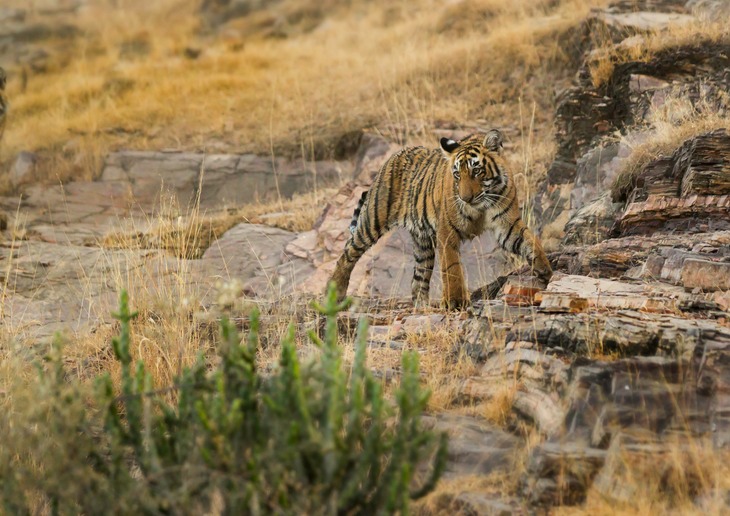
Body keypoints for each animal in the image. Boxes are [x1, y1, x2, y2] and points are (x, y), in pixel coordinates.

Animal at [328, 129, 548, 310]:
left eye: (477, 170)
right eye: (457, 174)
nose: (465, 198)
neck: (483, 204)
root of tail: (395, 154)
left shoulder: (506, 224)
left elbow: (530, 240)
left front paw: (545, 270)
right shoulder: (447, 231)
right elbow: (452, 268)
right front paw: (455, 301)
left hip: (422, 244)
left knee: (418, 279)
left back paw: (423, 307)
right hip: (373, 221)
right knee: (347, 254)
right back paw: (335, 294)